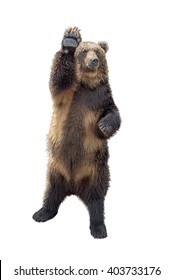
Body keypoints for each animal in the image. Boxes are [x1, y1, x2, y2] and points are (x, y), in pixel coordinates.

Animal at [32, 26, 121, 238]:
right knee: (51, 191)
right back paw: (42, 212)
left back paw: (99, 227)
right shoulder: (68, 94)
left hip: (97, 171)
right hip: (55, 168)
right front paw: (70, 39)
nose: (93, 61)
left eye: (97, 51)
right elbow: (58, 79)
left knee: (97, 198)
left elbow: (114, 113)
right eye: (84, 51)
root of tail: (73, 187)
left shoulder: (102, 96)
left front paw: (103, 126)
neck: (87, 84)